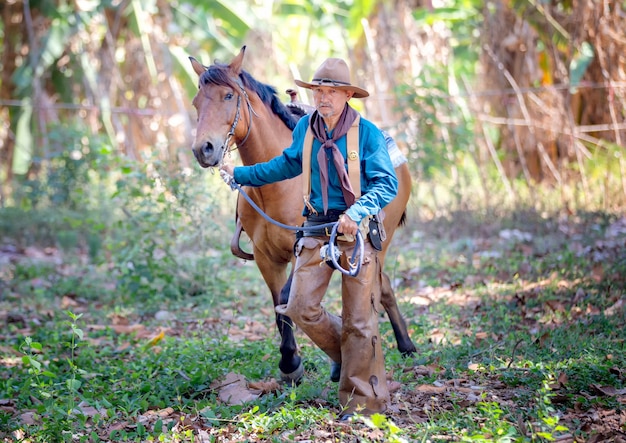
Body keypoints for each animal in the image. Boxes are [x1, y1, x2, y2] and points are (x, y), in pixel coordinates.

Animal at [190, 46, 414, 386]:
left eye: (228, 96)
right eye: (196, 102)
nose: (203, 149)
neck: (275, 189)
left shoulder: (298, 249)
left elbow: (286, 299)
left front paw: (299, 361)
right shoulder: (266, 256)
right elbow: (278, 305)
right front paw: (290, 363)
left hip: (377, 242)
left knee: (378, 284)